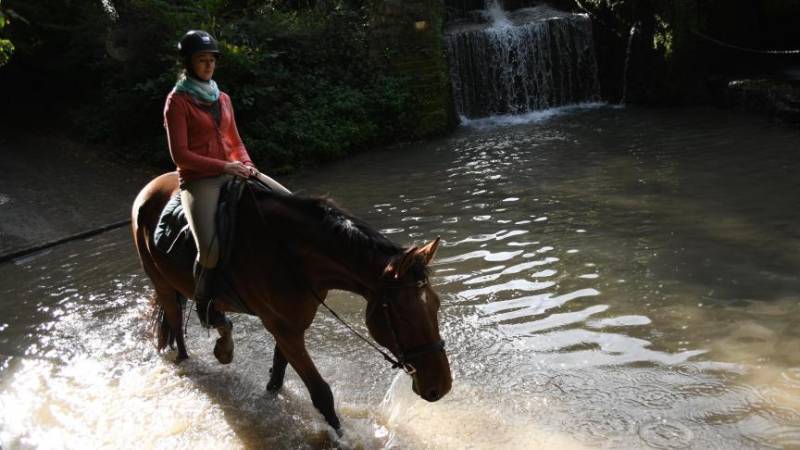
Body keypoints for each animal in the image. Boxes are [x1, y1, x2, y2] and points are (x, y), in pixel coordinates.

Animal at [131, 172, 452, 432]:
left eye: (435, 306)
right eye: (403, 316)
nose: (441, 386)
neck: (290, 256)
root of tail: (149, 188)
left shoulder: (291, 325)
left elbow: (279, 373)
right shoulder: (285, 330)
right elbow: (321, 393)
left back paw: (223, 343)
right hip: (162, 285)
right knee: (177, 327)